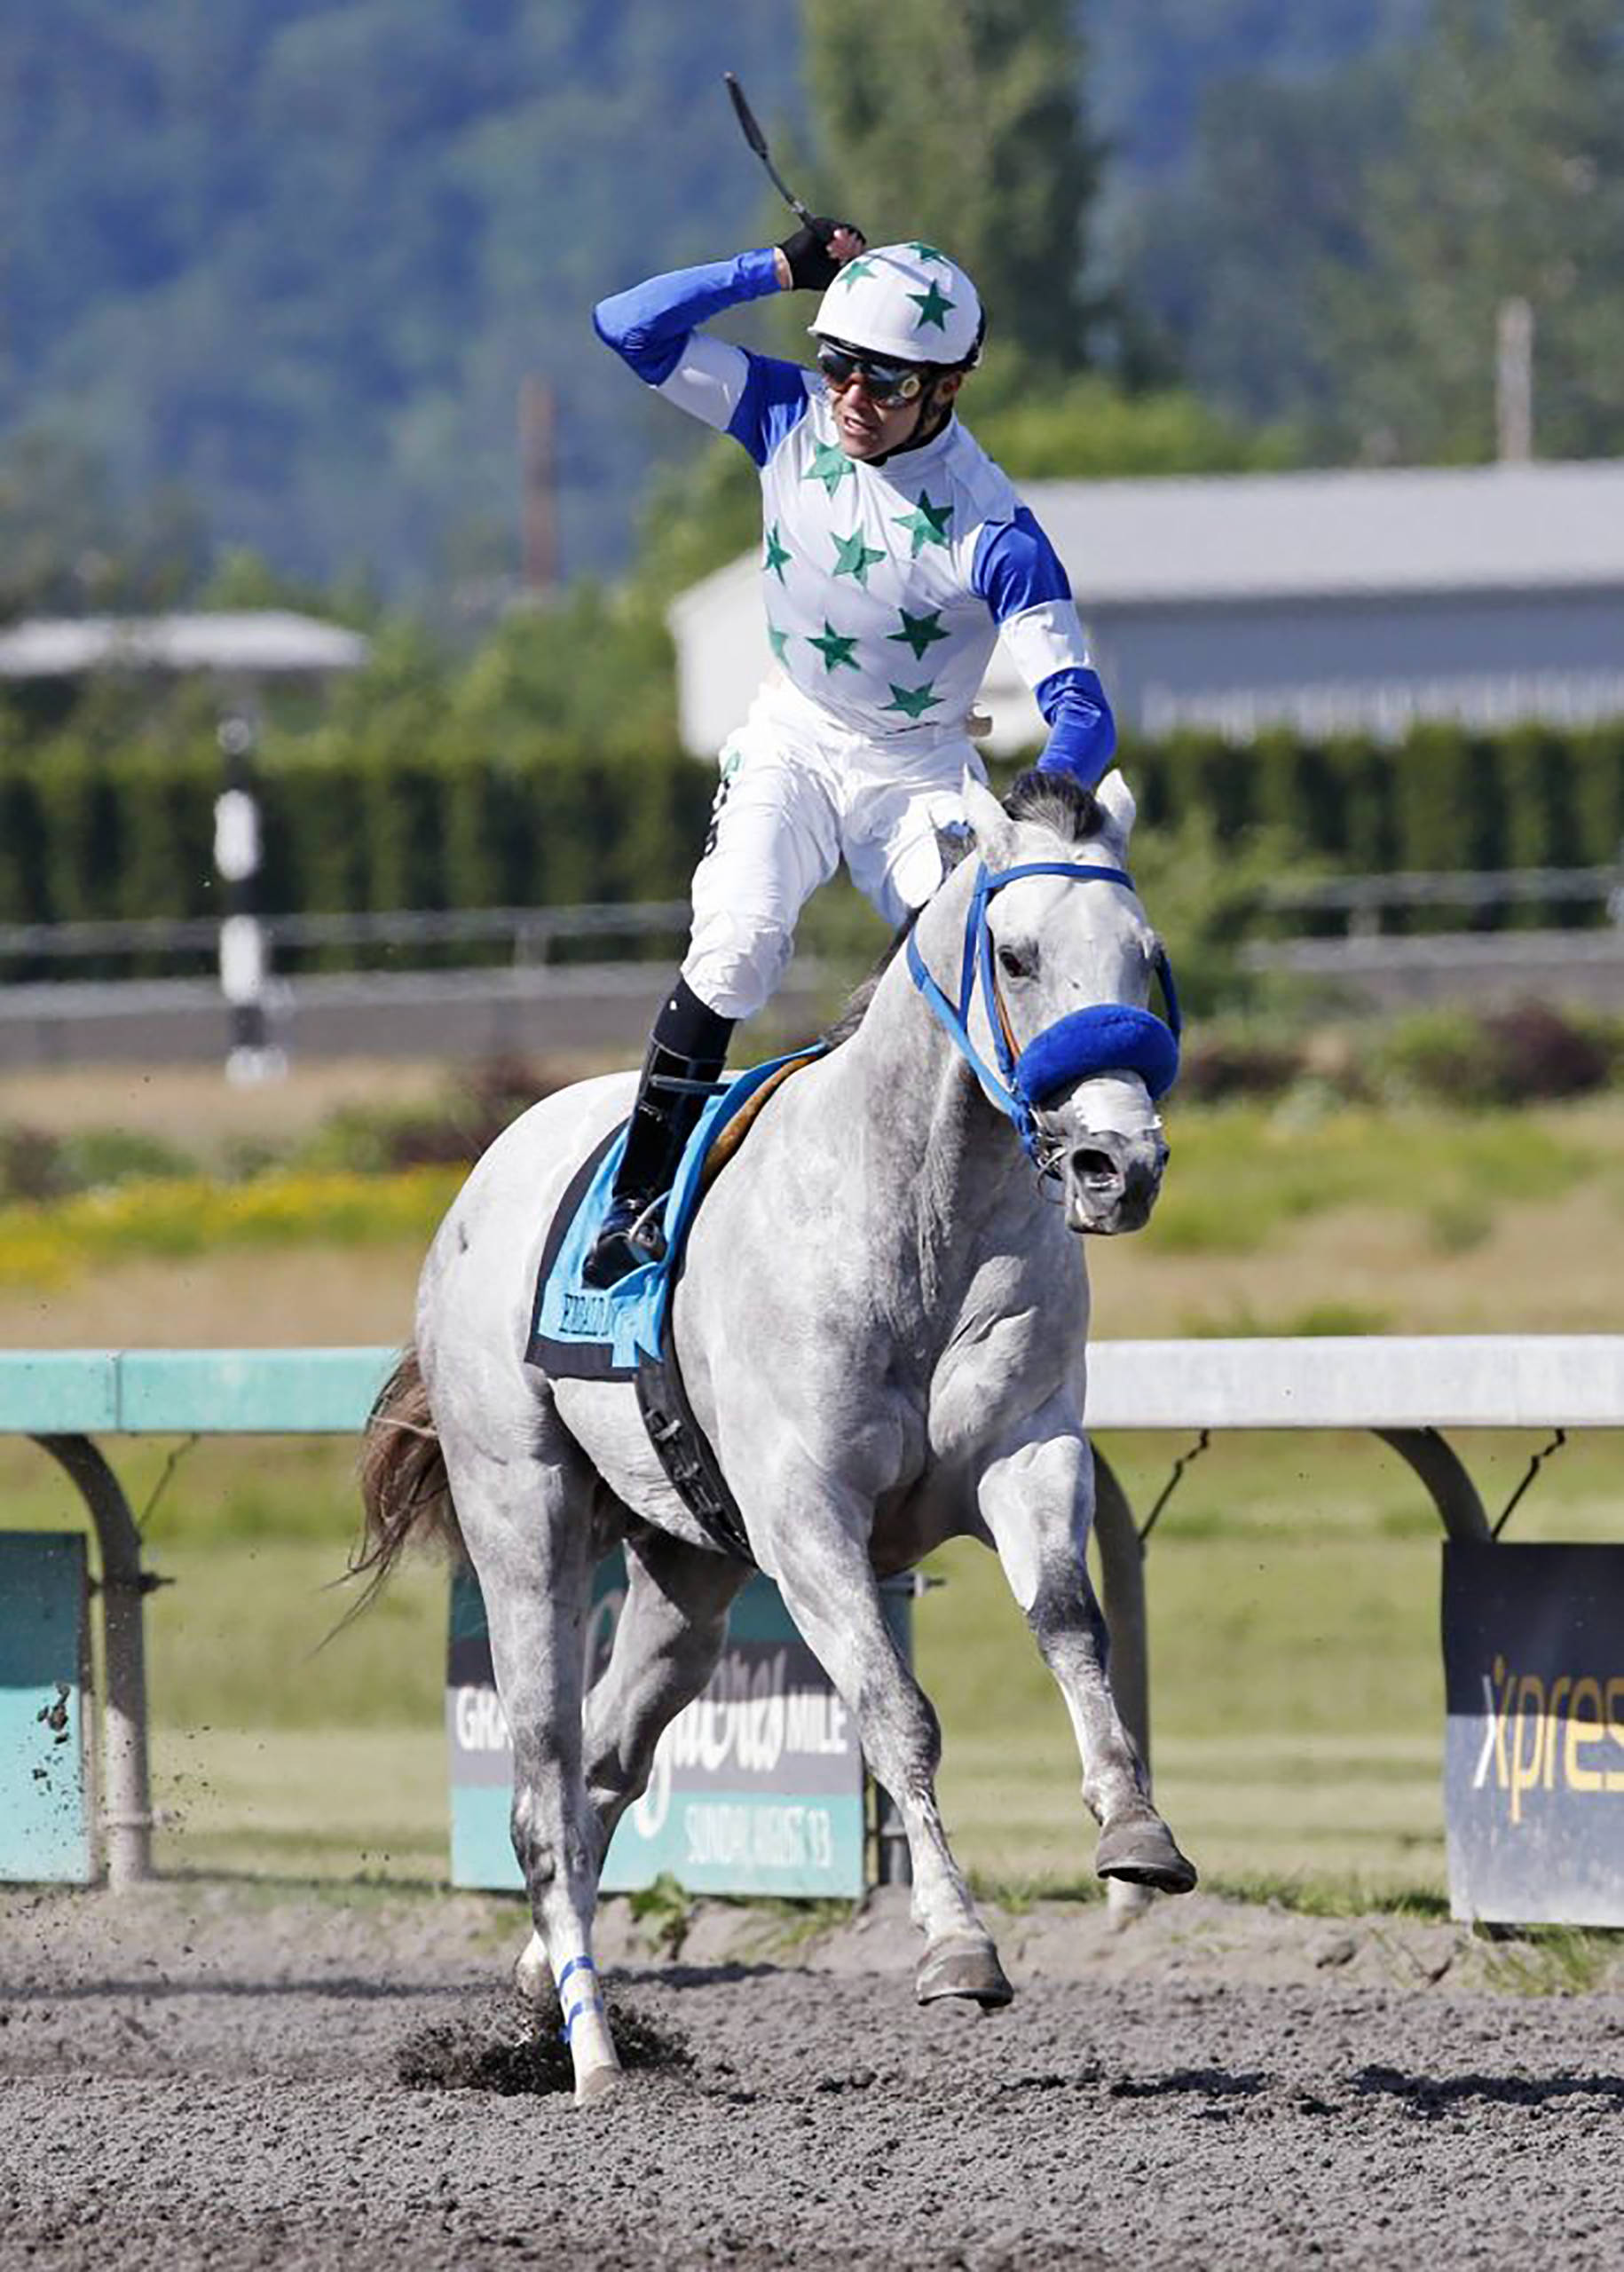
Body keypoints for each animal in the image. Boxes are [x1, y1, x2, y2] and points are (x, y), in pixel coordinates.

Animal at [359, 772, 1190, 2099]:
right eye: (1016, 956)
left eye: (1144, 959)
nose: (1120, 1164)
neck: (915, 1221)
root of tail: (488, 1170)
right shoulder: (807, 1516)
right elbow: (893, 1711)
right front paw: (957, 1945)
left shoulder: (1028, 1451)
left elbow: (1071, 1621)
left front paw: (1136, 1828)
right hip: (521, 1511)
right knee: (541, 1784)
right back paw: (593, 2055)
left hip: (688, 1571)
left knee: (604, 1765)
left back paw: (542, 1991)